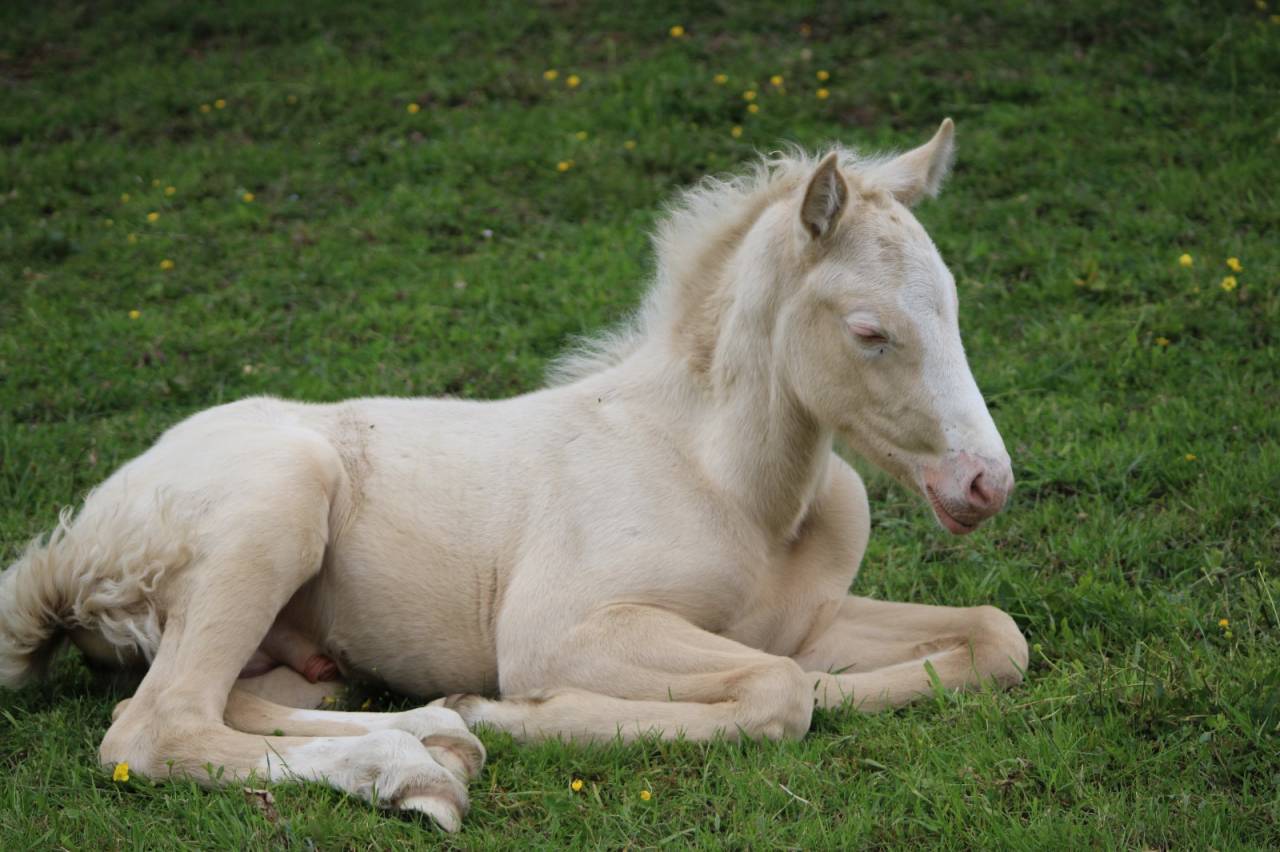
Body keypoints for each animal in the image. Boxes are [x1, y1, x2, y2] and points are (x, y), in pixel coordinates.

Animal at [0, 119, 1027, 832]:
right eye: (869, 330)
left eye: (955, 304)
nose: (985, 484)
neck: (730, 485)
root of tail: (73, 544)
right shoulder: (560, 630)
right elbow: (778, 692)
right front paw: (519, 712)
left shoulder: (808, 618)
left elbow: (990, 637)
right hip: (276, 503)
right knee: (155, 723)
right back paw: (423, 768)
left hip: (275, 641)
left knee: (245, 699)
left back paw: (432, 731)